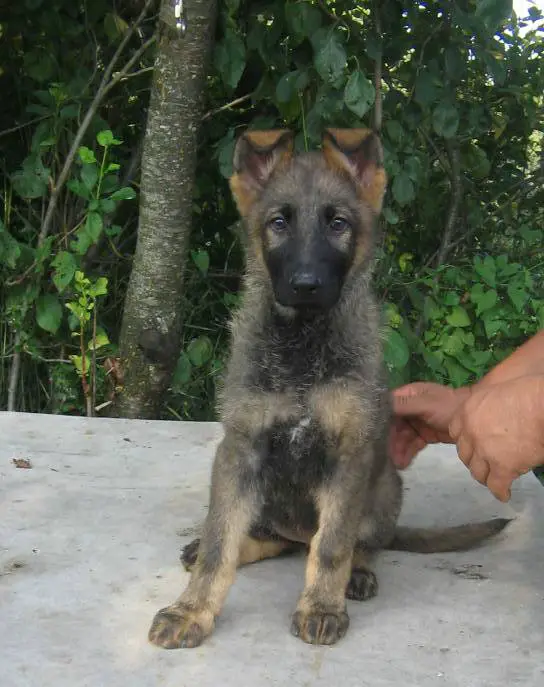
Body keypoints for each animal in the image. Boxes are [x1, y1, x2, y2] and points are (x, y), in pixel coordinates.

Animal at [148, 128, 510, 649]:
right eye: (279, 222)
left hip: (384, 489)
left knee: (358, 543)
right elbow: (221, 543)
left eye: (338, 223)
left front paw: (321, 605)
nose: (306, 284)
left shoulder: (348, 455)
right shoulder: (241, 450)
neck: (302, 342)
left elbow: (334, 544)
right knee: (270, 540)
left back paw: (358, 574)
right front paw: (191, 610)